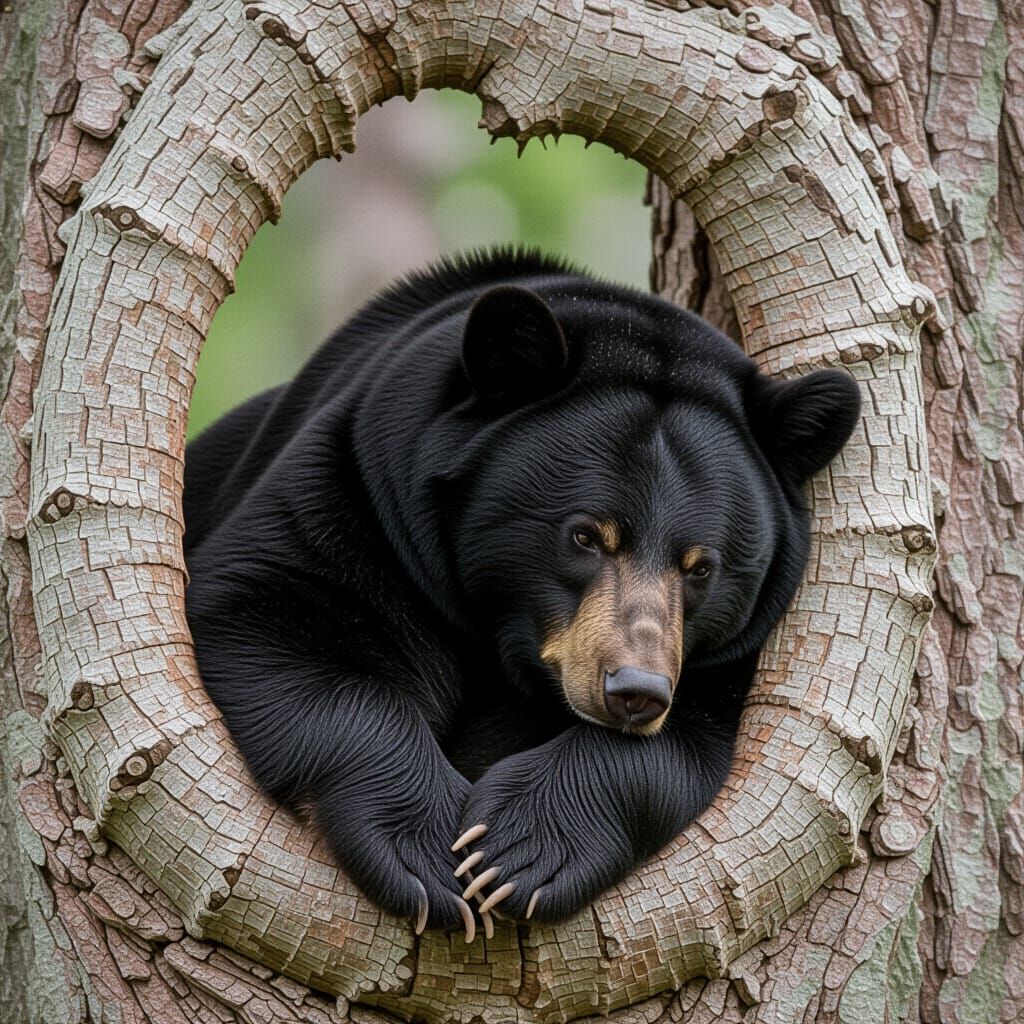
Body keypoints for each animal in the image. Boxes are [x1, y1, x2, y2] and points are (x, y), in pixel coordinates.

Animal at [183, 249, 860, 940]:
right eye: (585, 535)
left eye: (700, 567)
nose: (635, 692)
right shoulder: (362, 484)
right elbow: (270, 609)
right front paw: (427, 861)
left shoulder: (729, 661)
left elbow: (682, 744)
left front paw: (514, 854)